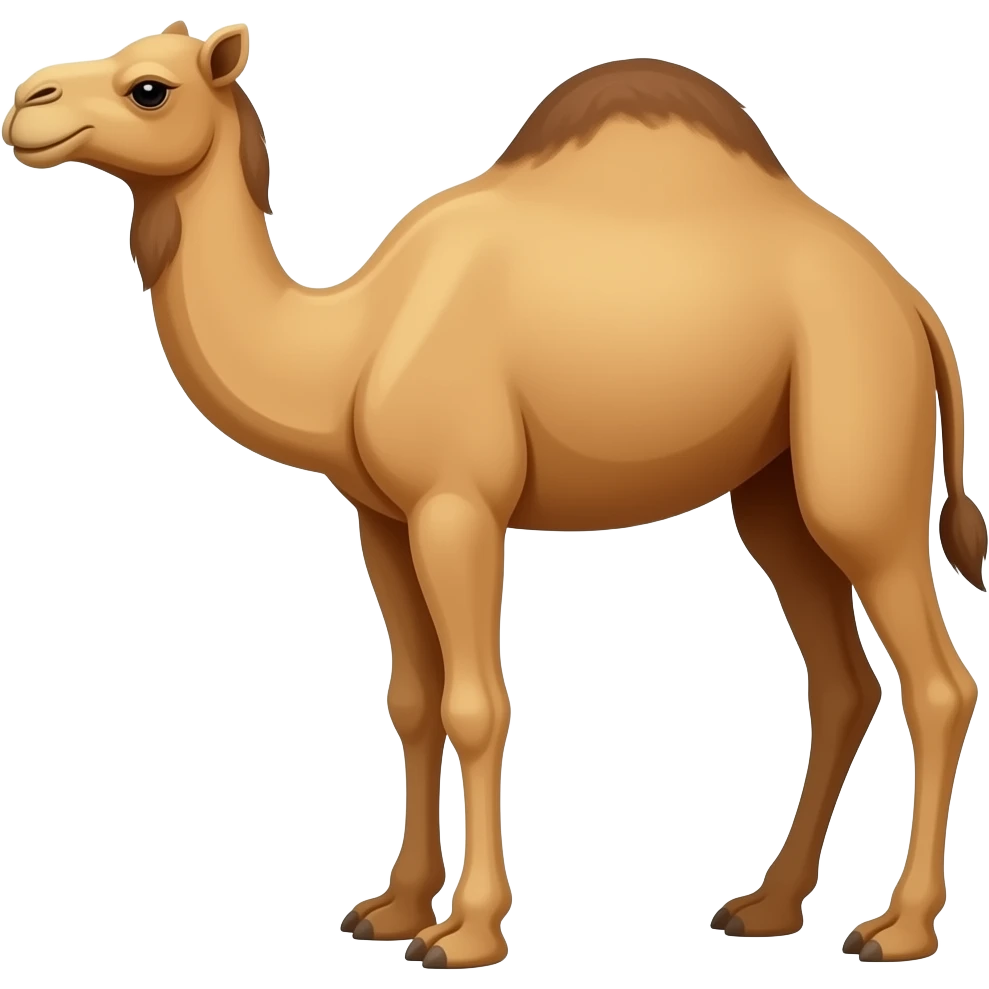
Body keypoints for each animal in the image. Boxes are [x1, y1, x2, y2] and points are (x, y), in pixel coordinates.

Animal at [4, 23, 985, 969]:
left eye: (149, 88)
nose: (26, 101)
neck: (348, 345)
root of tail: (912, 305)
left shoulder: (458, 504)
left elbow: (476, 705)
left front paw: (466, 932)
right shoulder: (382, 519)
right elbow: (411, 699)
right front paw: (392, 908)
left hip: (858, 457)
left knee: (936, 680)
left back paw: (897, 927)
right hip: (773, 491)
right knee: (841, 679)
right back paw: (766, 906)